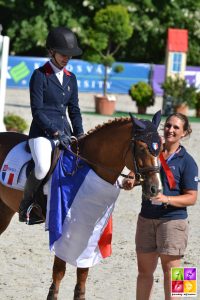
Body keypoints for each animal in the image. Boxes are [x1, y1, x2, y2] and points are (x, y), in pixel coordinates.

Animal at [0, 111, 162, 298]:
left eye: (161, 148)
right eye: (142, 148)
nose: (155, 189)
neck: (87, 166)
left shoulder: (89, 230)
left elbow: (83, 272)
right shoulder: (63, 226)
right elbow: (59, 271)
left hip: (4, 211)